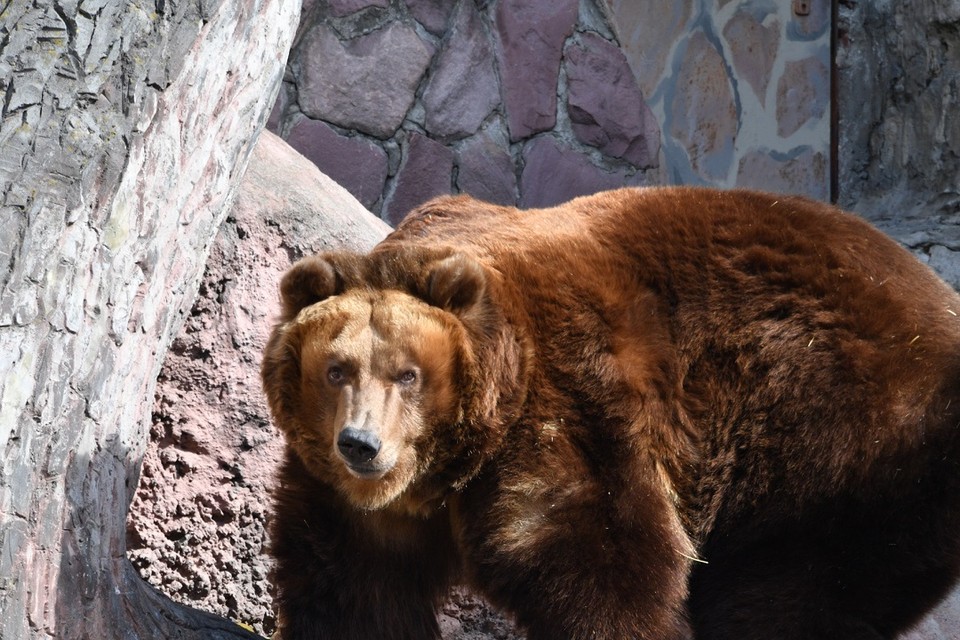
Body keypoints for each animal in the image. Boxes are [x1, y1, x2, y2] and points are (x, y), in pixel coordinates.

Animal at [258, 186, 960, 640]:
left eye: (409, 374)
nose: (361, 444)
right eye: (336, 369)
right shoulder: (354, 505)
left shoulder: (569, 403)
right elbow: (351, 586)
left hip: (840, 445)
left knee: (785, 594)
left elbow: (605, 563)